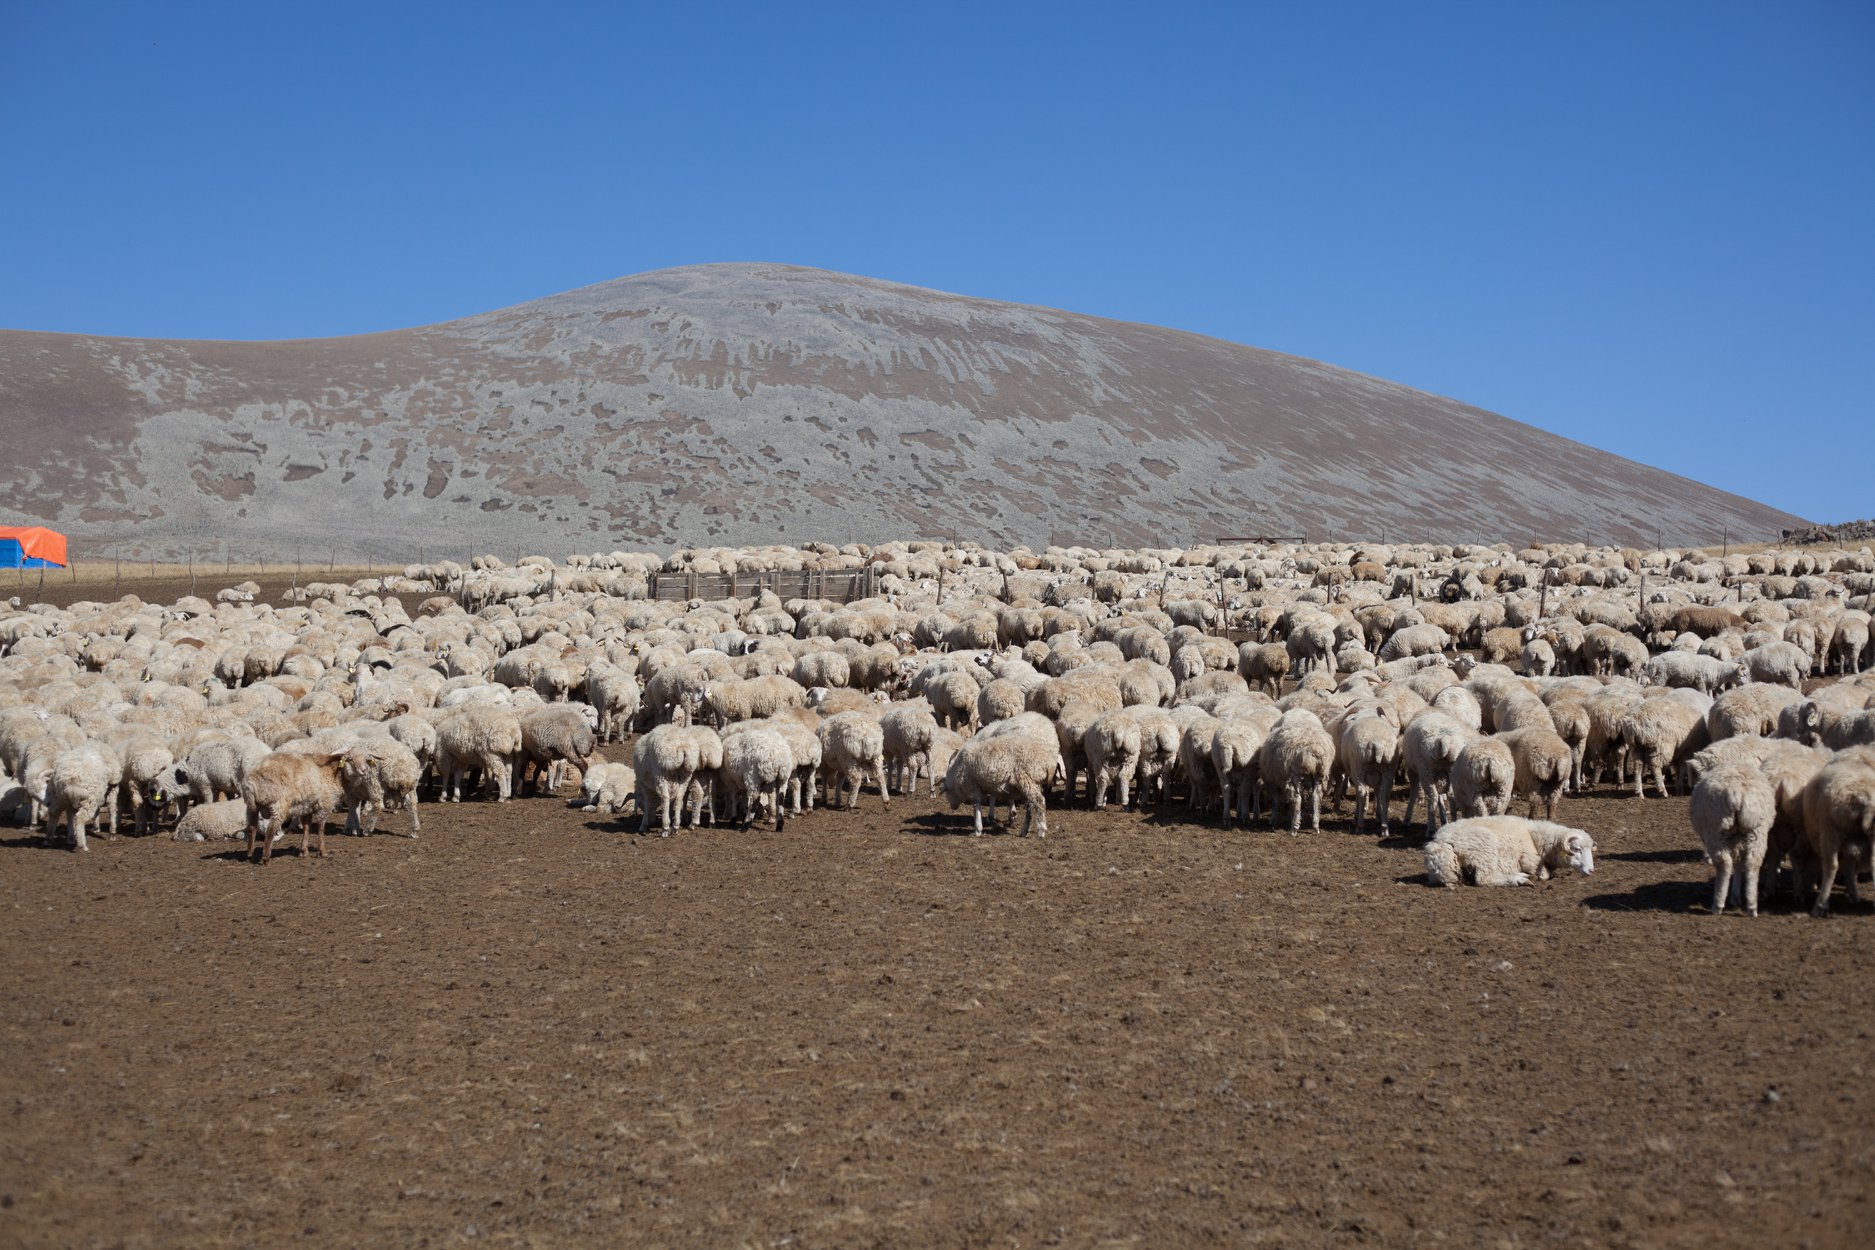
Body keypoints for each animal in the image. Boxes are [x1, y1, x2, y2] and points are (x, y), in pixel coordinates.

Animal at [1424, 817, 1596, 887]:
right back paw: (1519, 880)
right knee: (1484, 879)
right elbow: (1545, 875)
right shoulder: (1531, 861)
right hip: (1486, 850)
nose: (1591, 870)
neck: (1535, 836)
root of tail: (1442, 841)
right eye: (1577, 849)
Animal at [1690, 763, 1777, 917]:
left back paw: (1718, 905)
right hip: (1757, 831)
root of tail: (1737, 793)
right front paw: (1736, 896)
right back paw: (1752, 906)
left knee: (1724, 864)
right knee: (1752, 864)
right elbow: (1738, 864)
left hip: (1716, 832)